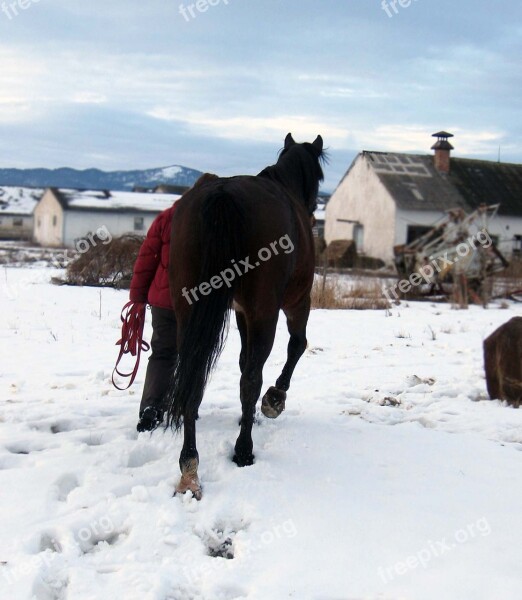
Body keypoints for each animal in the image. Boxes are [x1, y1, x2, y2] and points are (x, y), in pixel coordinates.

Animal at [165, 134, 322, 500]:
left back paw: (189, 465)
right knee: (253, 378)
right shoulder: (295, 303)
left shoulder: (240, 314)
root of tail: (223, 195)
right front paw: (274, 401)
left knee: (194, 378)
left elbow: (241, 360)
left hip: (188, 311)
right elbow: (296, 346)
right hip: (267, 311)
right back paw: (243, 450)